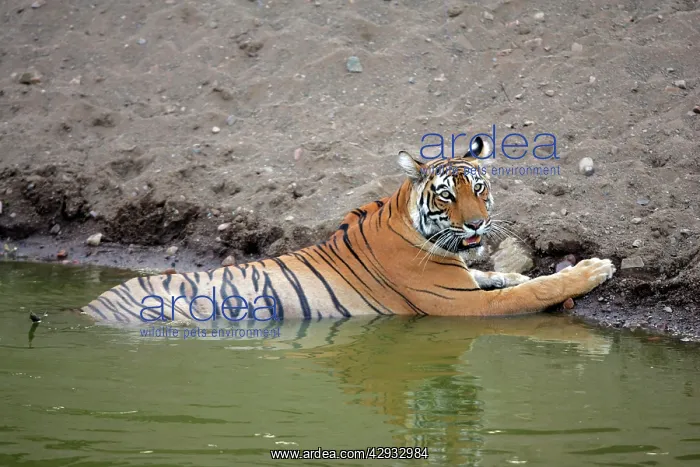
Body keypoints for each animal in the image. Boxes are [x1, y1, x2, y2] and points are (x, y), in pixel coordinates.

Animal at [81, 136, 615, 324]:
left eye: (479, 188)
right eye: (447, 195)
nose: (477, 222)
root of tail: (88, 308)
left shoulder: (463, 277)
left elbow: (497, 275)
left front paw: (519, 272)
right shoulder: (460, 303)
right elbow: (530, 291)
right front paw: (592, 269)